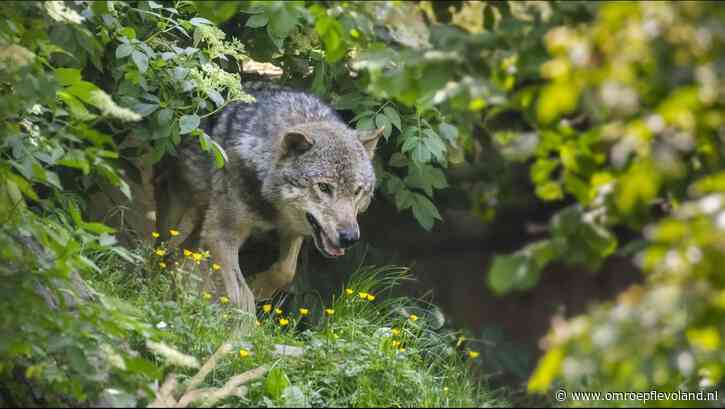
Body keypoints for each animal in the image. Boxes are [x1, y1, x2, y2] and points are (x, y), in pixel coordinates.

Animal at [154, 84, 383, 314]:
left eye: (357, 191)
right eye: (324, 187)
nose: (350, 238)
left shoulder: (293, 230)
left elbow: (286, 270)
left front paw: (259, 287)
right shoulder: (220, 233)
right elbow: (241, 295)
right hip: (181, 221)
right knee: (169, 254)